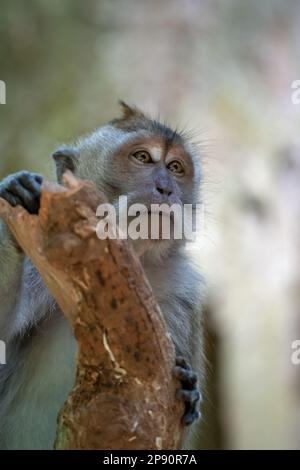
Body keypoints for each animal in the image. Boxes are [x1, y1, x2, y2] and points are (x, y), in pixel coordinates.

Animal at [0, 103, 205, 452]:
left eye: (176, 167)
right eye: (143, 158)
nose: (166, 188)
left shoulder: (183, 297)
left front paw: (189, 390)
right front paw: (16, 191)